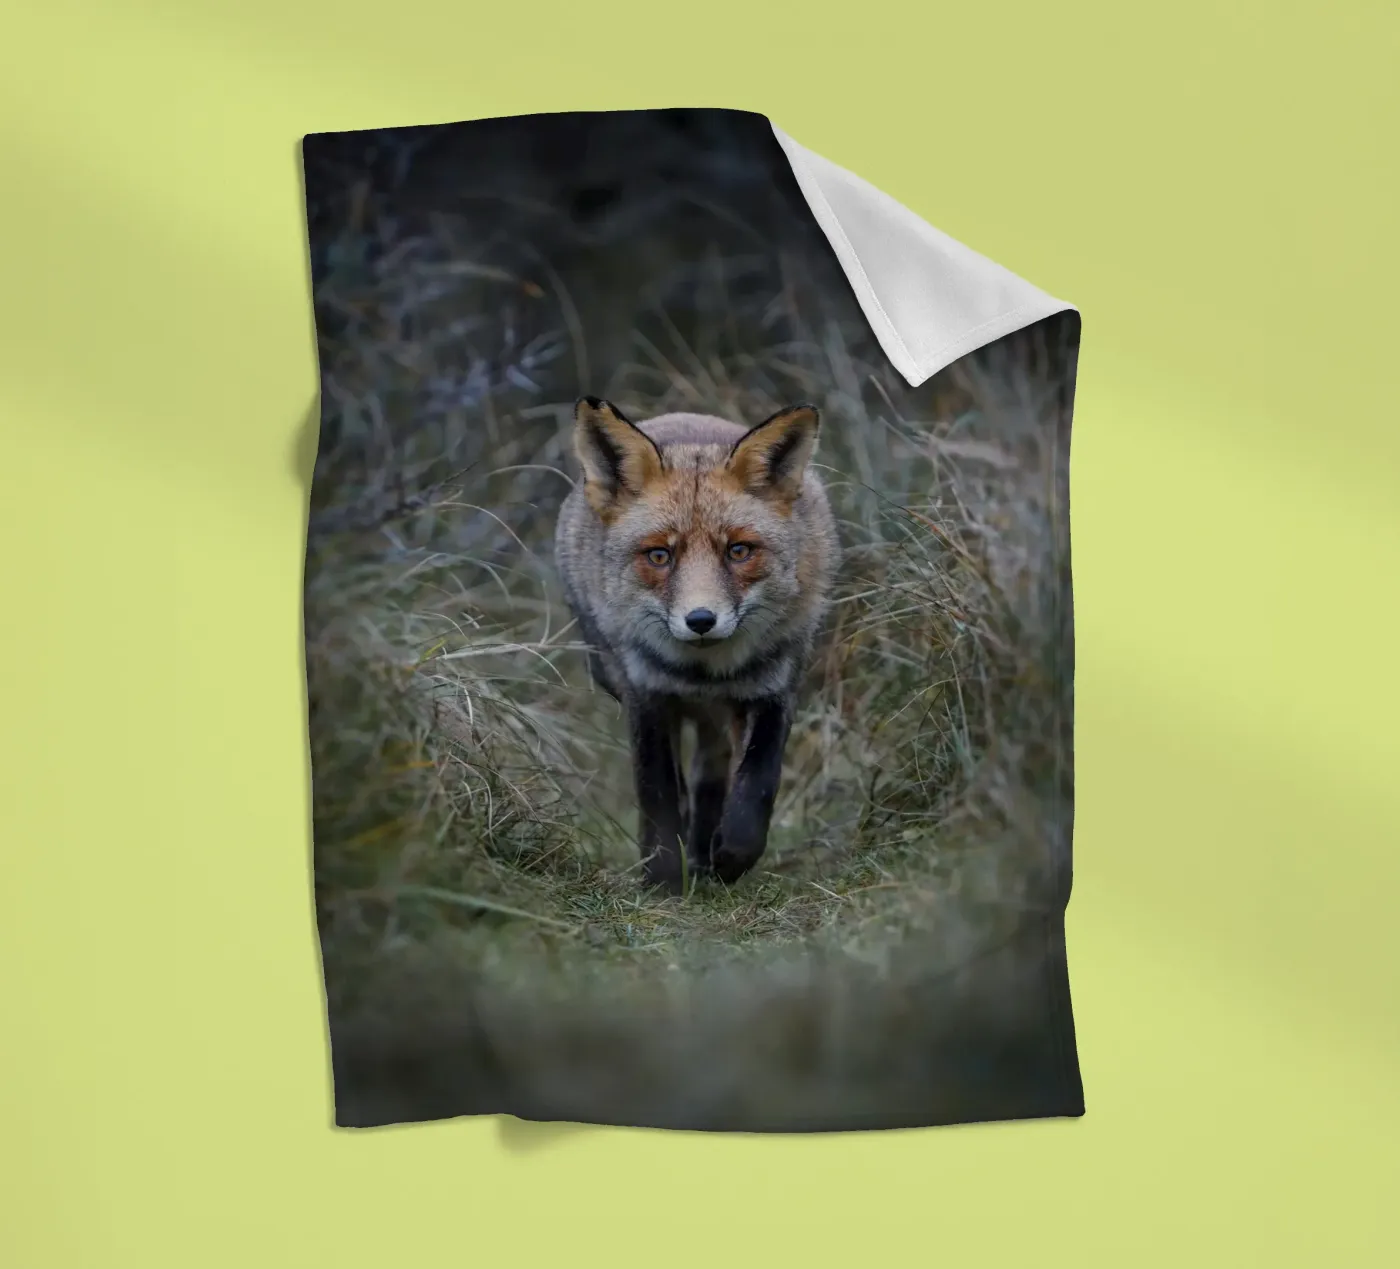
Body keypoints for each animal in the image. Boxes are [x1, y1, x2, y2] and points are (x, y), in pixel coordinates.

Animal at [554, 395, 840, 893]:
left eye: (739, 551)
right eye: (659, 555)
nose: (701, 620)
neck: (704, 674)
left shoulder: (775, 688)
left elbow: (757, 786)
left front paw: (731, 857)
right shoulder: (645, 695)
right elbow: (659, 794)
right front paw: (664, 880)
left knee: (711, 776)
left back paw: (706, 854)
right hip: (614, 675)